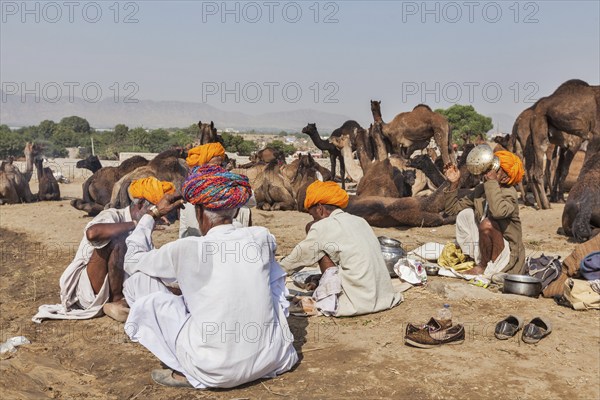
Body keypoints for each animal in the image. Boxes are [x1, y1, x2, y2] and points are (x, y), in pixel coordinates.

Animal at [528, 78, 596, 209]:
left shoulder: (564, 146)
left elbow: (559, 170)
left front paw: (557, 197)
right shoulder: (574, 144)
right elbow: (564, 170)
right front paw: (560, 198)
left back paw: (540, 202)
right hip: (544, 142)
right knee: (541, 171)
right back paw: (546, 203)